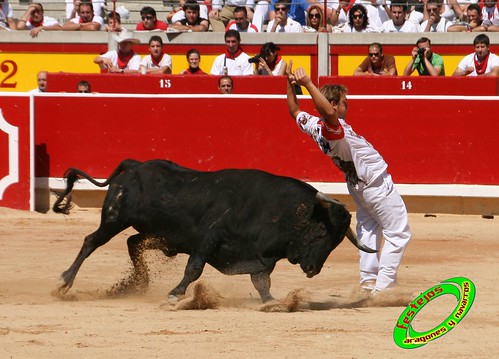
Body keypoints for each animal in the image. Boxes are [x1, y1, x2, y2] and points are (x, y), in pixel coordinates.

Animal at [54, 160, 376, 304]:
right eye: (321, 232)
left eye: (335, 242)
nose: (312, 269)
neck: (276, 211)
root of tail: (135, 166)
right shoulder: (208, 239)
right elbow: (194, 268)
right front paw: (175, 294)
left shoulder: (260, 257)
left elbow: (262, 282)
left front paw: (272, 303)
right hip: (114, 219)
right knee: (91, 242)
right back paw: (64, 281)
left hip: (158, 234)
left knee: (133, 243)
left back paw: (136, 285)